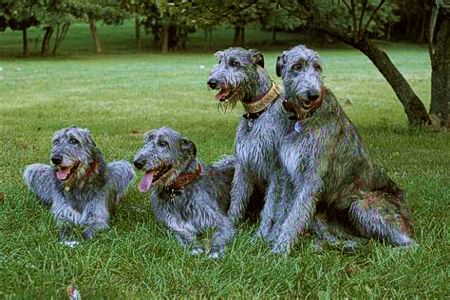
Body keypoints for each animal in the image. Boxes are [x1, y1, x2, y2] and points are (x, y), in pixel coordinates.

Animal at [207, 47, 290, 241]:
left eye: (234, 63)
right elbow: (237, 199)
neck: (258, 113)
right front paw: (229, 226)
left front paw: (260, 236)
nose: (211, 82)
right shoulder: (242, 165)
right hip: (228, 162)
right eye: (220, 61)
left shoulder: (276, 171)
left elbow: (270, 207)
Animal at [270, 44, 414, 253]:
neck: (302, 117)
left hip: (362, 204)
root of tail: (409, 220)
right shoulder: (289, 174)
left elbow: (295, 216)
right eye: (297, 66)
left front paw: (279, 250)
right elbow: (284, 211)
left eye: (318, 67)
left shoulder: (311, 177)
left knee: (411, 244)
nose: (314, 95)